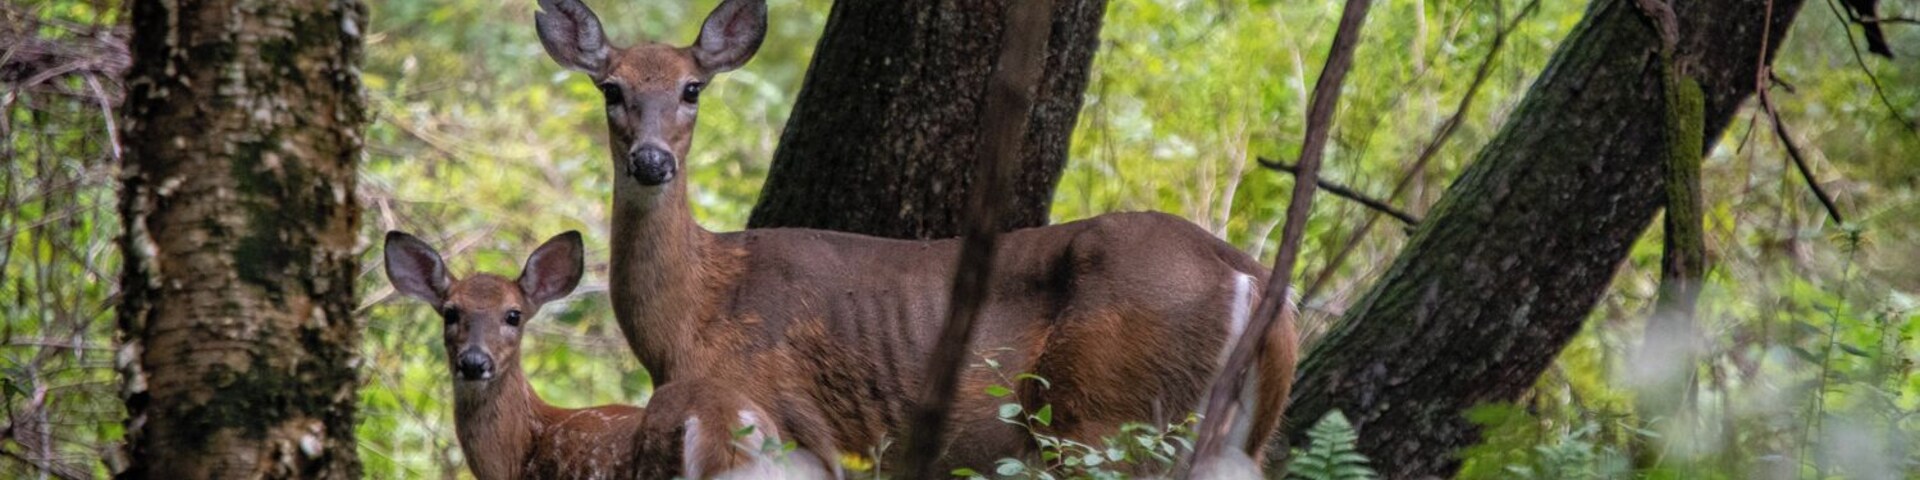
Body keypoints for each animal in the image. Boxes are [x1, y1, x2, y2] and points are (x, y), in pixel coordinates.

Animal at [533, 0, 1298, 470]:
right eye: (611, 88)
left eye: (693, 88)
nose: (651, 161)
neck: (699, 307)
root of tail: (1251, 276)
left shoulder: (778, 409)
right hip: (1234, 438)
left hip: (1105, 416)